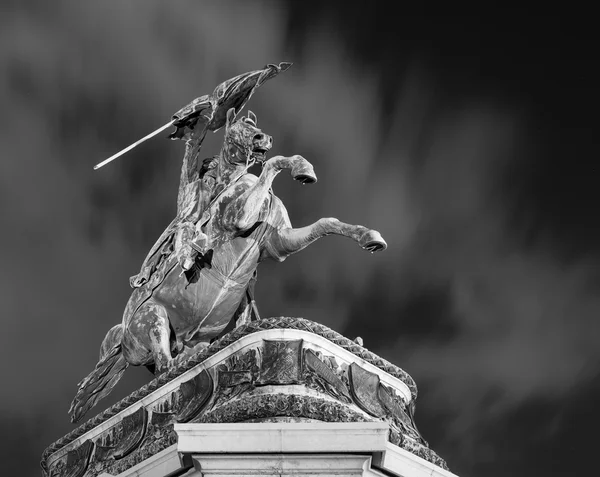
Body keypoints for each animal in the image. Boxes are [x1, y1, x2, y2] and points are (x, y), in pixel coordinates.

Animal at [70, 107, 386, 420]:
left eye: (253, 125)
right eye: (238, 126)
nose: (263, 138)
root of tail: (122, 339)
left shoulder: (278, 241)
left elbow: (326, 222)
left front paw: (370, 237)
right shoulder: (239, 219)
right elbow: (273, 164)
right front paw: (301, 167)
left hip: (189, 338)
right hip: (153, 316)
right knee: (164, 364)